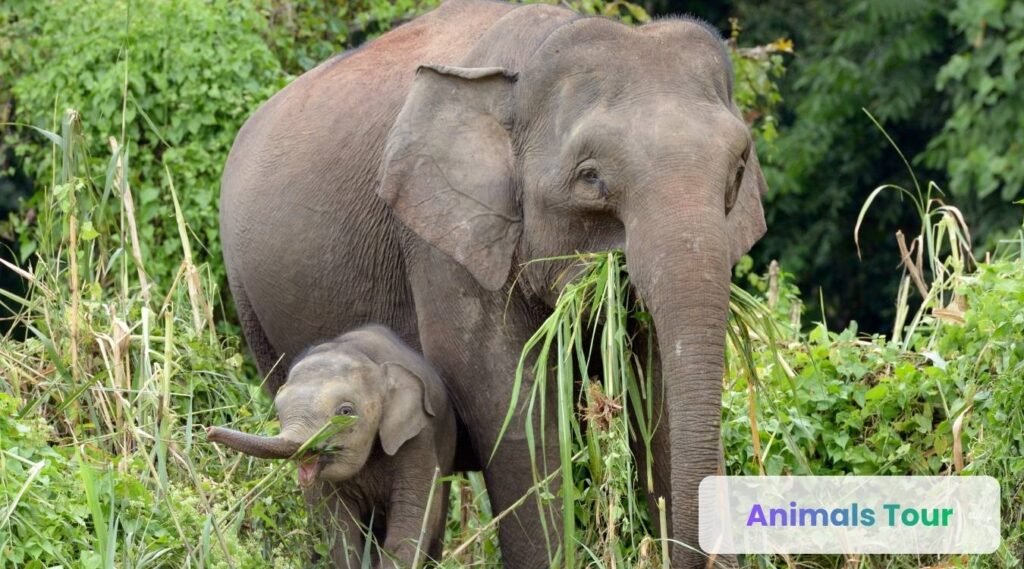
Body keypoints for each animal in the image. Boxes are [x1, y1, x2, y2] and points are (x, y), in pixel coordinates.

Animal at [207, 325, 455, 568]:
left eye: (345, 412)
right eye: (277, 408)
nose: (209, 431)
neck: (366, 356)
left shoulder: (418, 440)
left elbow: (409, 518)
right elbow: (338, 525)